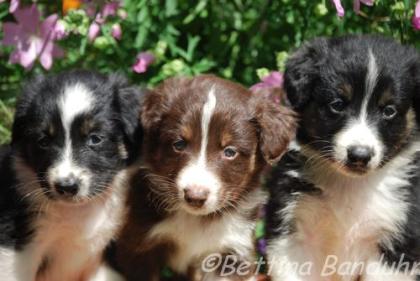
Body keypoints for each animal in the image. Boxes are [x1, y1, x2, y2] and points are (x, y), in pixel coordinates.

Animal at [111, 75, 296, 280]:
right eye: (179, 144)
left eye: (230, 152)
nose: (195, 197)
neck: (195, 219)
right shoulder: (138, 248)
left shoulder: (229, 251)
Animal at [268, 35, 420, 280]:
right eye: (337, 105)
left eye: (389, 110)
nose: (359, 155)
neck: (350, 184)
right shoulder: (293, 230)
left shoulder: (398, 242)